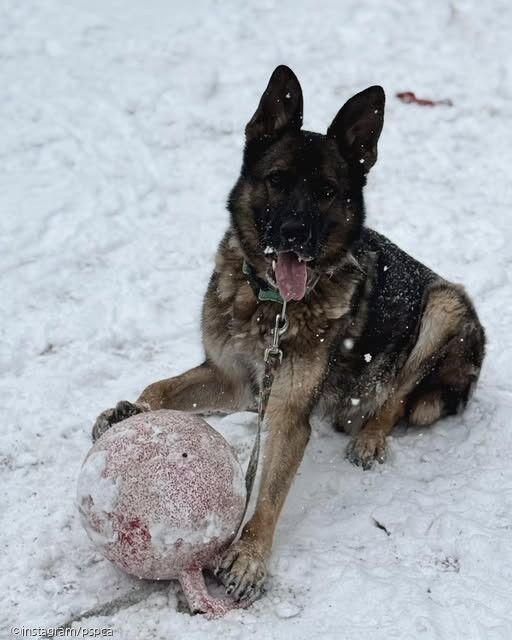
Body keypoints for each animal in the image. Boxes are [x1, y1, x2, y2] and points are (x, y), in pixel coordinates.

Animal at [91, 67, 484, 608]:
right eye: (277, 180)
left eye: (326, 191)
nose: (295, 233)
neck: (272, 304)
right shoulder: (233, 378)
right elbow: (163, 387)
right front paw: (131, 411)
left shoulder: (288, 413)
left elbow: (271, 492)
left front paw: (250, 557)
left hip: (444, 307)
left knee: (399, 397)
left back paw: (370, 437)